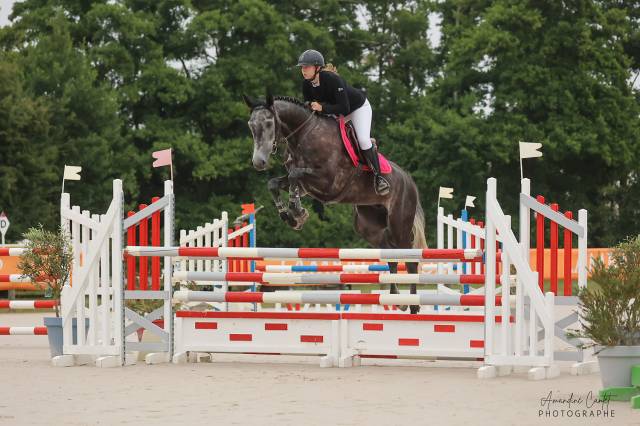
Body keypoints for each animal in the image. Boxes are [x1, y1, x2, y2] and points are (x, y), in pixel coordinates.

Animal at [243, 93, 427, 313]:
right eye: (251, 125)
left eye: (269, 123)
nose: (258, 162)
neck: (304, 135)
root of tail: (409, 180)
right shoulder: (305, 185)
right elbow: (275, 183)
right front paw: (291, 216)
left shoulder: (329, 182)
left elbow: (295, 175)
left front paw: (297, 212)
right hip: (368, 224)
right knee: (389, 251)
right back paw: (396, 298)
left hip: (399, 222)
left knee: (409, 258)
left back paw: (413, 304)